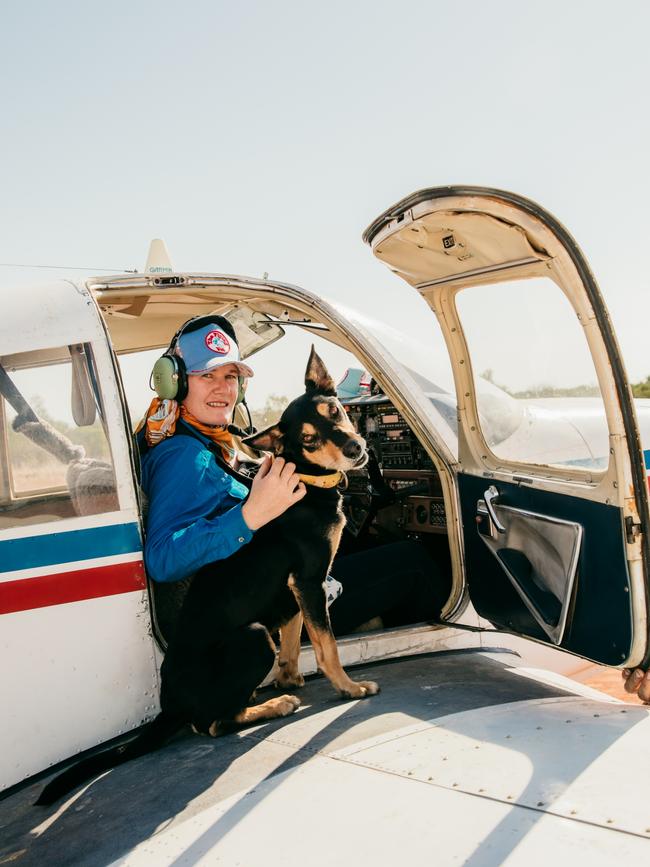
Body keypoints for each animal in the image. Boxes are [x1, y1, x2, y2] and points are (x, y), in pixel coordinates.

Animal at [38, 348, 378, 808]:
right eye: (308, 439)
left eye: (336, 411)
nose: (355, 446)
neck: (304, 479)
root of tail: (169, 706)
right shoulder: (309, 581)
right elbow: (327, 647)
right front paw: (349, 687)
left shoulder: (293, 591)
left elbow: (293, 639)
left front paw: (289, 676)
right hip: (254, 637)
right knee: (213, 725)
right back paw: (272, 706)